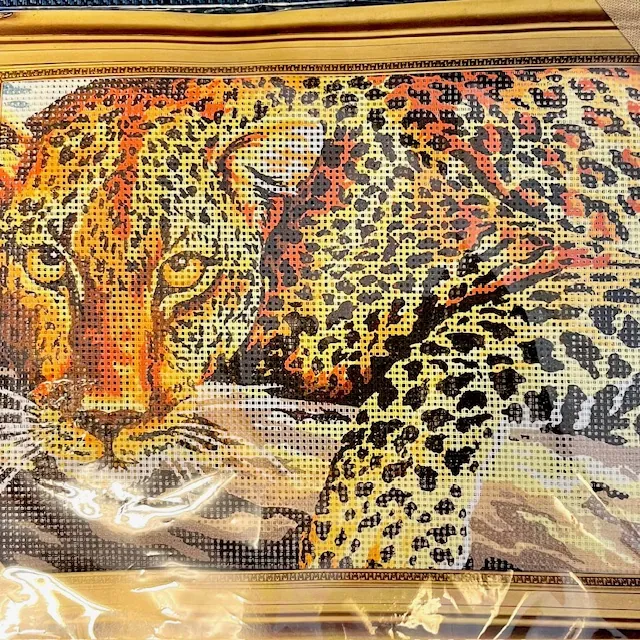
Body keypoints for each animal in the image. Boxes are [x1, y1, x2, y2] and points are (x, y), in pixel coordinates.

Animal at [0, 67, 639, 571]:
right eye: (44, 262)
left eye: (183, 269)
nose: (106, 420)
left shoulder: (591, 267)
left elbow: (449, 354)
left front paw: (376, 536)